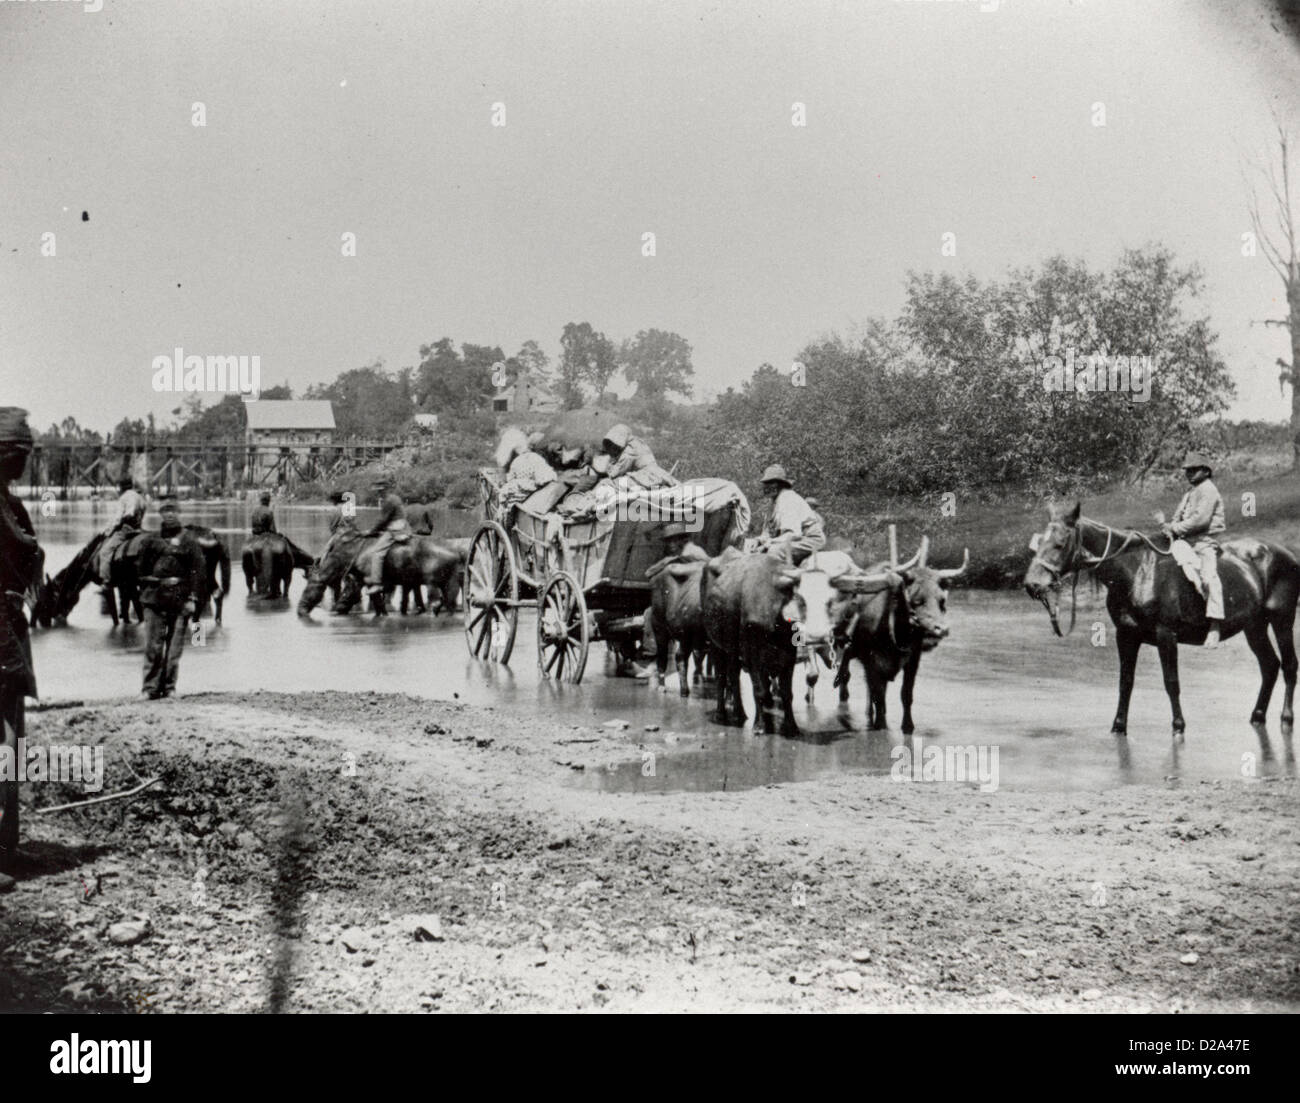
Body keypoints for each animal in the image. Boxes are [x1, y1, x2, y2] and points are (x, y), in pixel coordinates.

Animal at [1024, 504, 1300, 738]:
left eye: (1059, 544)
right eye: (1038, 544)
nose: (1032, 585)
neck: (1137, 571)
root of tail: (1287, 554)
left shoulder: (1166, 635)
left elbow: (1171, 682)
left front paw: (1178, 726)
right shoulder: (1125, 635)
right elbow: (1125, 682)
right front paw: (1118, 726)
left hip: (1282, 621)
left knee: (1289, 666)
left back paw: (1286, 718)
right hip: (1254, 627)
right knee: (1269, 666)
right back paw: (1257, 716)